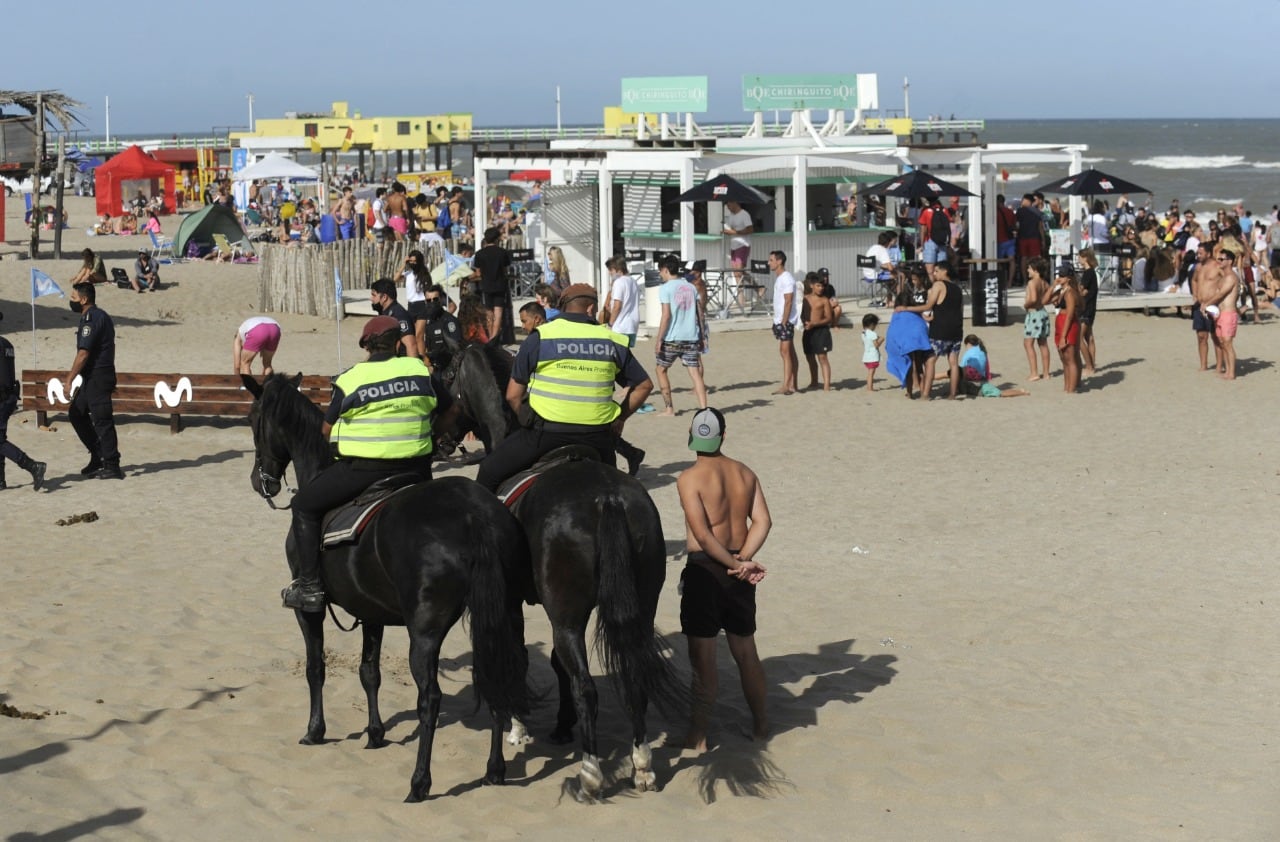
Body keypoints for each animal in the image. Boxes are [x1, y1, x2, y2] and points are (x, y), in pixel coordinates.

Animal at [244, 373, 529, 798]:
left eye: (252, 419)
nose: (259, 482)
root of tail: (474, 514)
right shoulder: (371, 612)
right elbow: (369, 672)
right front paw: (375, 733)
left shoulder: (308, 613)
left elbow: (316, 667)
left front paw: (315, 730)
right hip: (499, 616)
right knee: (495, 675)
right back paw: (494, 770)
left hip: (424, 632)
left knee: (430, 699)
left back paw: (420, 782)